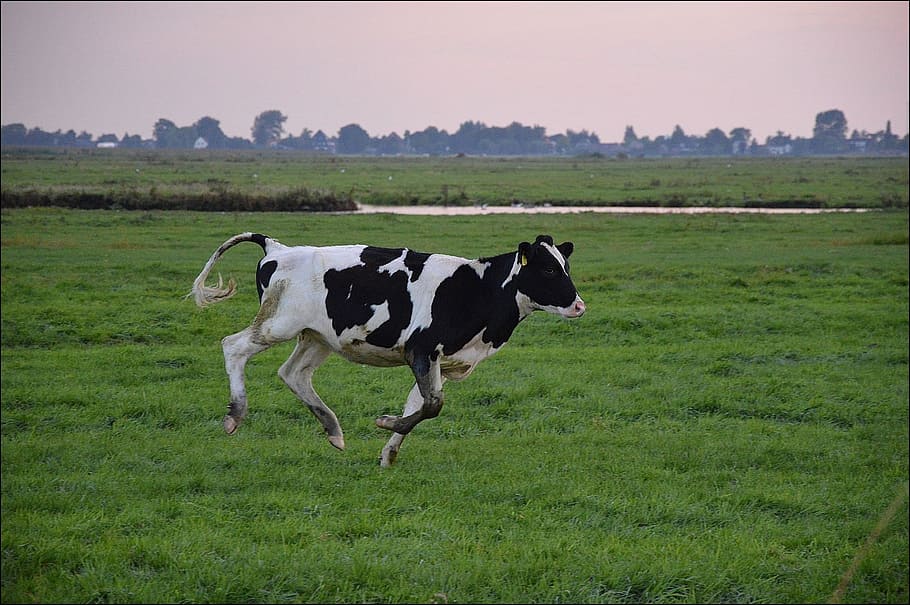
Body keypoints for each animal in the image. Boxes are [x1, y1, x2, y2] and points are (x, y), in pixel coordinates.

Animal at [190, 232, 586, 467]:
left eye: (565, 266)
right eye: (549, 270)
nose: (579, 305)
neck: (477, 288)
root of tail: (278, 248)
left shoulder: (439, 360)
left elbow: (421, 404)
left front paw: (389, 452)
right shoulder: (420, 349)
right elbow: (433, 405)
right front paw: (385, 422)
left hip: (318, 336)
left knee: (293, 374)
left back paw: (333, 430)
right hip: (278, 324)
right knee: (234, 347)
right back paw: (235, 414)